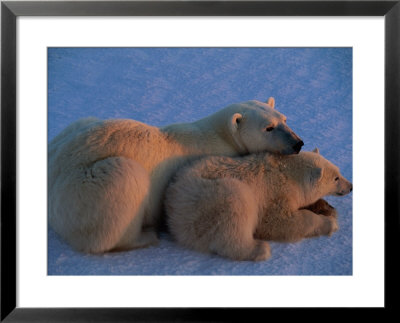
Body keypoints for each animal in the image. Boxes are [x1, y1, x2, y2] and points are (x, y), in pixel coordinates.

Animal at [47, 97, 304, 254]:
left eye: (284, 119)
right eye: (268, 128)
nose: (298, 143)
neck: (220, 134)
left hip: (74, 130)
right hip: (84, 187)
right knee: (124, 181)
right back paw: (145, 236)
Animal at [164, 151, 352, 262]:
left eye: (338, 171)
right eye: (336, 178)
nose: (350, 186)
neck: (287, 172)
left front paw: (326, 208)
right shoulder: (274, 193)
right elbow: (278, 221)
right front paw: (329, 223)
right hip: (207, 200)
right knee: (235, 207)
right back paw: (259, 249)